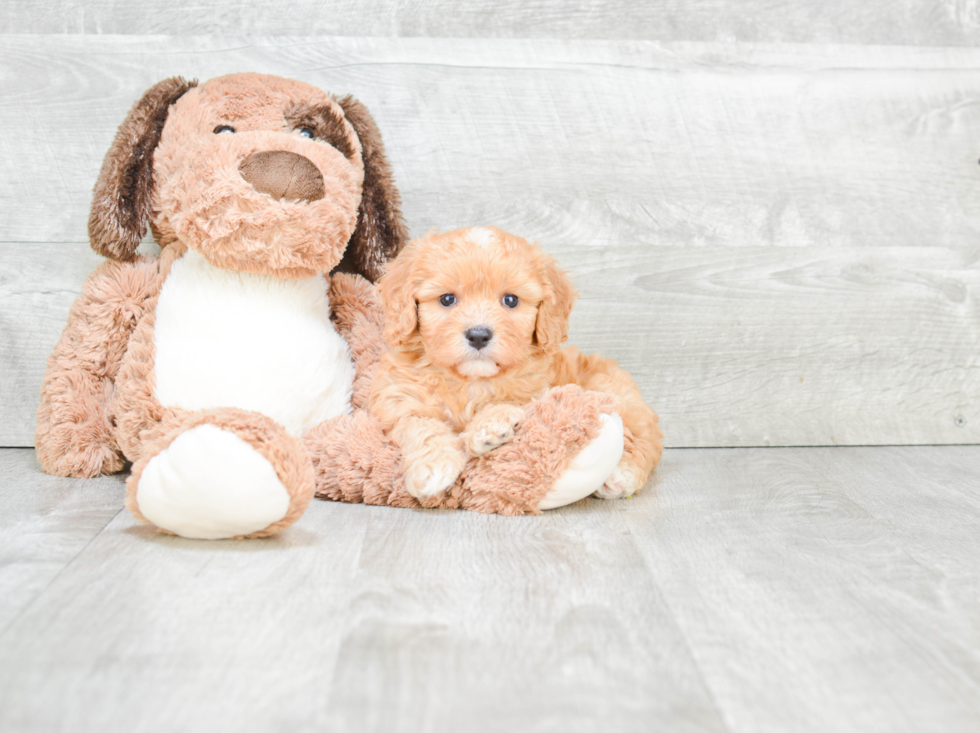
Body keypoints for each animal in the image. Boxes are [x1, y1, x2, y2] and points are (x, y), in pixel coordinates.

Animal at [370, 227, 668, 504]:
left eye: (510, 300)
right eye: (447, 299)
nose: (478, 335)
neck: (471, 380)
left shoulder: (534, 393)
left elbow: (506, 403)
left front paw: (488, 428)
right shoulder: (400, 400)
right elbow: (420, 425)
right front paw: (433, 467)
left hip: (617, 395)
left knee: (642, 439)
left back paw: (621, 476)